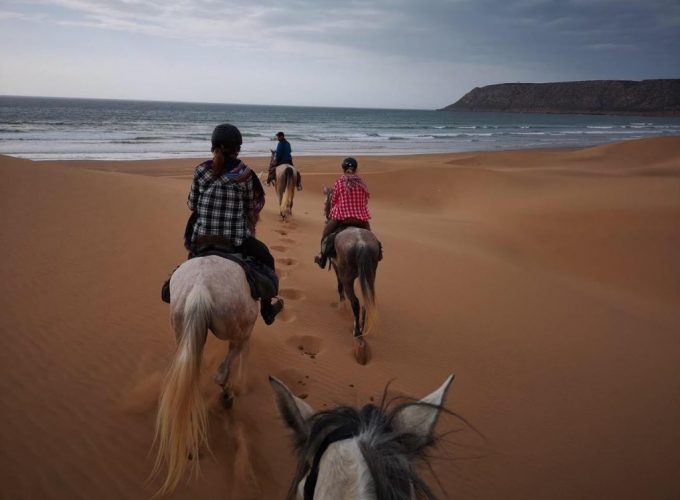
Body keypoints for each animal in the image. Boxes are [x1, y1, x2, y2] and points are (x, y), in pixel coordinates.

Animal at [151, 256, 258, 494]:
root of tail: (200, 287)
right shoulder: (248, 328)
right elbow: (242, 353)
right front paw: (240, 385)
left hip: (182, 329)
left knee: (194, 377)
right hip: (235, 328)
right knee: (227, 363)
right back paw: (228, 396)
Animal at [322, 187, 380, 364]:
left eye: (327, 199)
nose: (325, 210)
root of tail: (361, 243)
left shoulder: (337, 268)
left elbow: (339, 285)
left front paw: (341, 304)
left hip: (347, 276)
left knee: (355, 301)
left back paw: (357, 332)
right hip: (370, 275)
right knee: (367, 301)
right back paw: (360, 327)